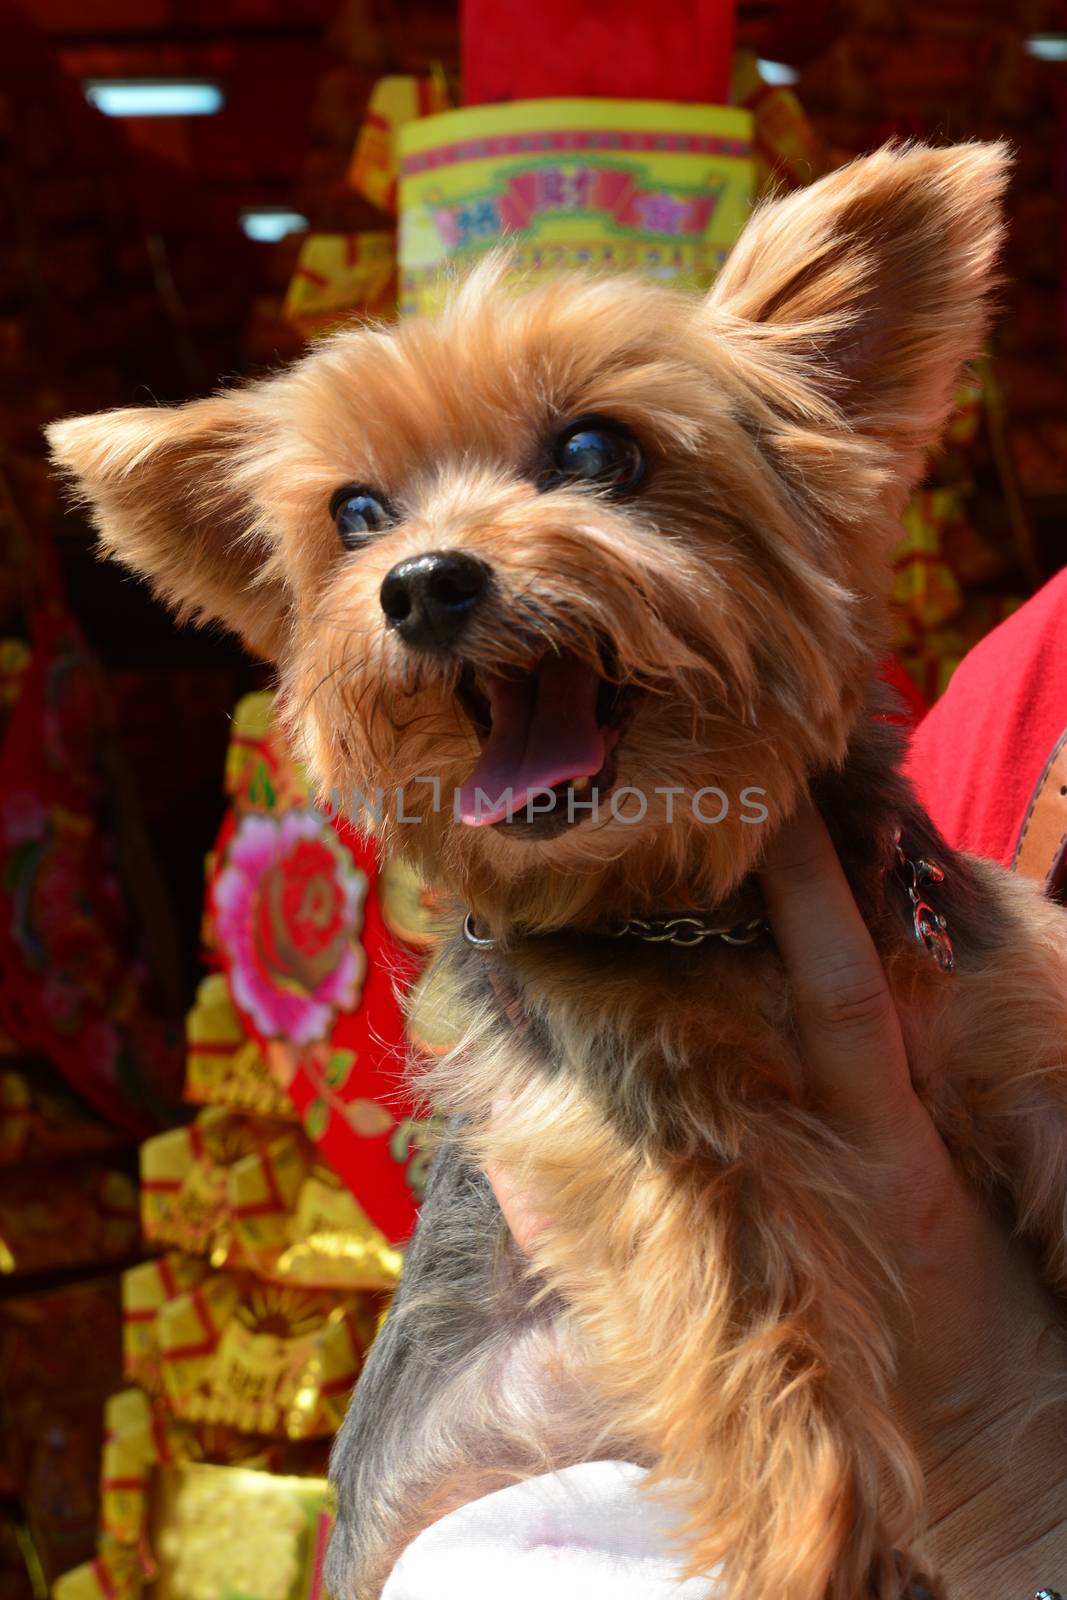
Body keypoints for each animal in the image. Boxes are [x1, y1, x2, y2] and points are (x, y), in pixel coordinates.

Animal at [49, 140, 1067, 1600]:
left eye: (595, 450)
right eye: (355, 514)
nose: (420, 580)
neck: (704, 902)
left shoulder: (1001, 1021)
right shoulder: (633, 1122)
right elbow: (747, 1311)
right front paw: (803, 1542)